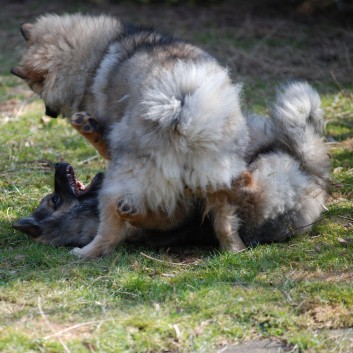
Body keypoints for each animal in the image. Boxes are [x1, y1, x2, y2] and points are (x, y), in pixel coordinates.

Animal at [13, 81, 328, 249]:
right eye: (54, 200)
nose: (59, 164)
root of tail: (311, 180)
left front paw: (92, 129)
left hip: (253, 135)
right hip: (258, 197)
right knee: (247, 187)